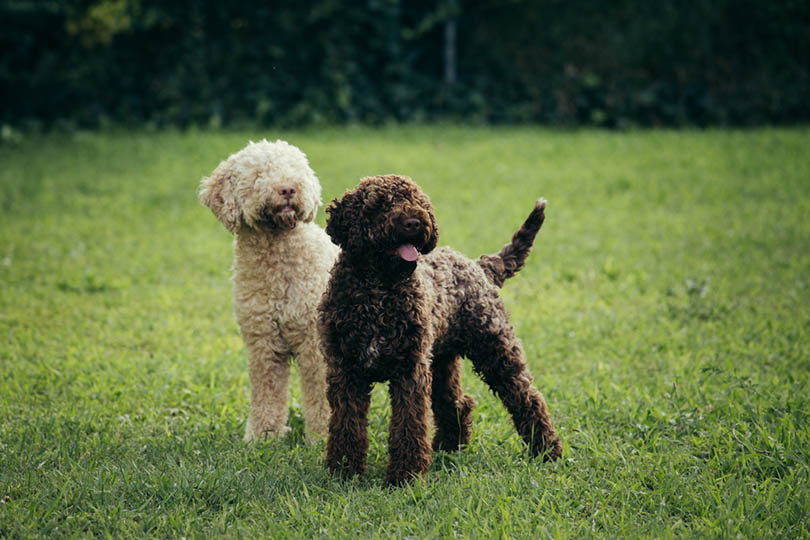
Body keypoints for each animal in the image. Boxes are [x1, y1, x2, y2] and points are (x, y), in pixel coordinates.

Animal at [199, 140, 338, 442]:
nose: (287, 189)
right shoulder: (263, 342)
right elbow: (267, 393)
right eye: (258, 174)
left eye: (295, 169)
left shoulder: (315, 344)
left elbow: (321, 397)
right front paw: (262, 437)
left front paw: (322, 438)